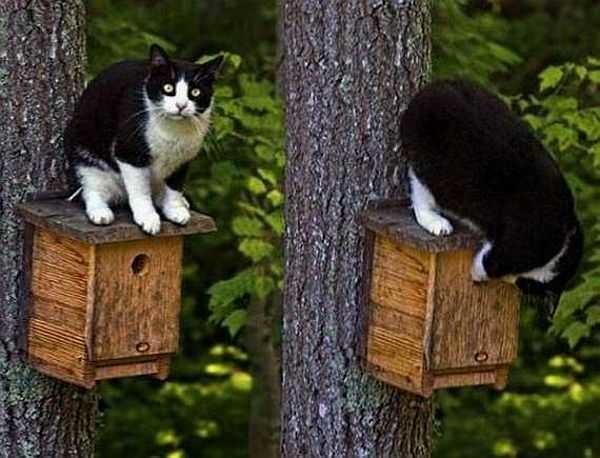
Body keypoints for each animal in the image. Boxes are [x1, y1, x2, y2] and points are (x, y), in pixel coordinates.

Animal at [63, 43, 223, 234]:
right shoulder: (129, 151)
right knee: (91, 187)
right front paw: (148, 217)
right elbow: (140, 189)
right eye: (168, 88)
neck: (172, 131)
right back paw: (100, 211)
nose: (181, 105)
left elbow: (175, 186)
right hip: (83, 149)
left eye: (195, 92)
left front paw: (175, 209)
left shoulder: (184, 158)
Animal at [400, 79, 584, 314]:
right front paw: (477, 275)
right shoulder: (519, 242)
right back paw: (437, 223)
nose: (522, 289)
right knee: (420, 191)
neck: (561, 246)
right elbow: (489, 264)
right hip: (434, 167)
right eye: (528, 287)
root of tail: (430, 90)